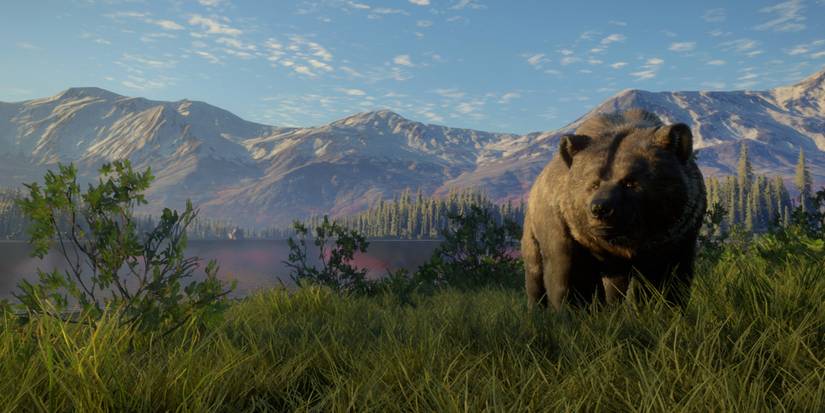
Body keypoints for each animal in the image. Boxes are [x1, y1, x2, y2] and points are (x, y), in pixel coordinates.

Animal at [522, 109, 706, 310]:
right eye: (593, 184)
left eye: (630, 182)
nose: (600, 208)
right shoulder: (564, 229)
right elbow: (567, 276)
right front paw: (567, 309)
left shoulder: (678, 236)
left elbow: (671, 278)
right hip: (532, 230)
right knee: (534, 271)